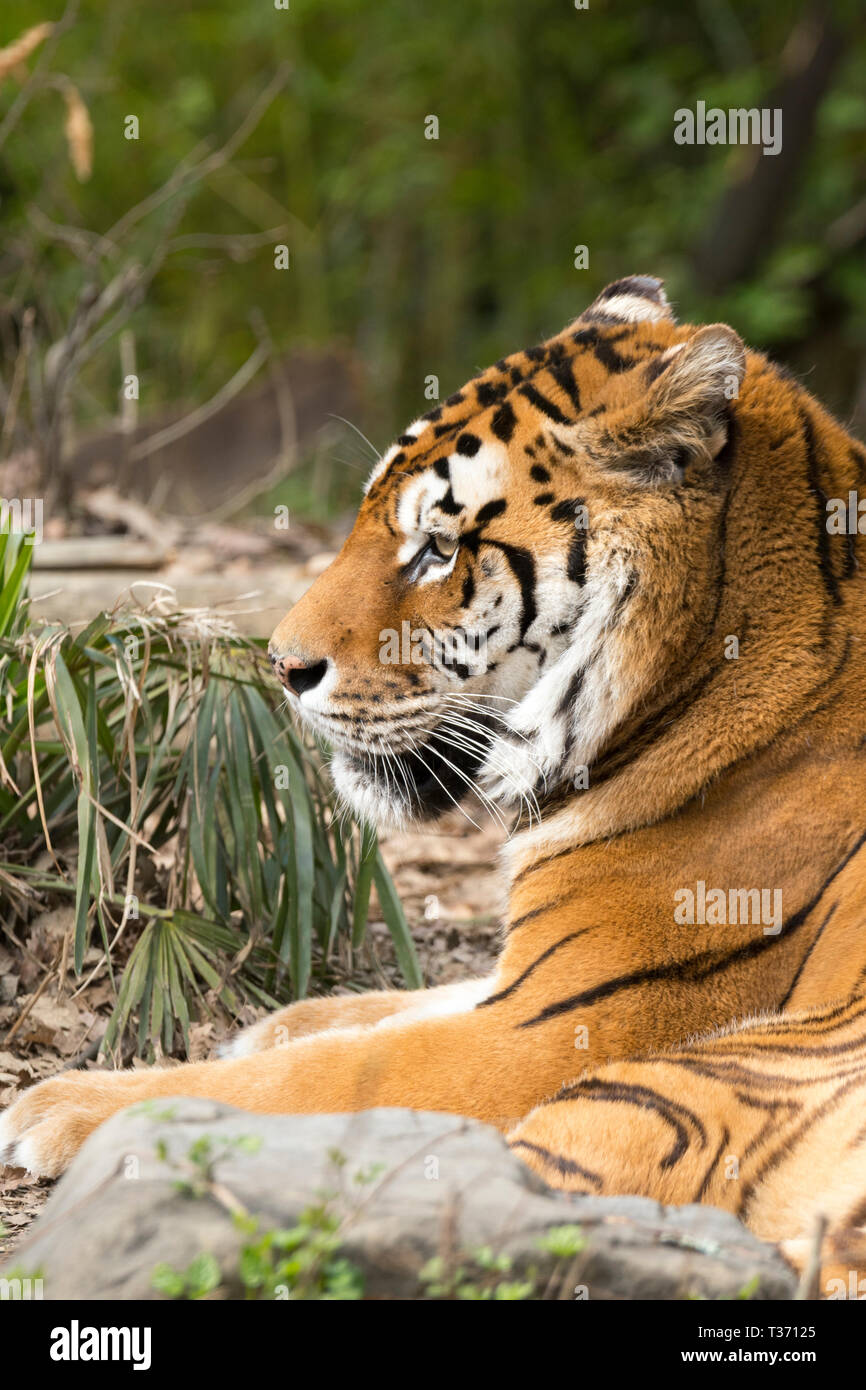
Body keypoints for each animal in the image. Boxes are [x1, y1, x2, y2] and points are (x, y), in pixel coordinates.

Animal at [5, 276, 866, 1284]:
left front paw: (66, 1104)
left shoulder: (554, 1029)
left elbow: (333, 1073)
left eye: (439, 549)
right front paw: (283, 1017)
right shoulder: (526, 980)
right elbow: (387, 1007)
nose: (280, 666)